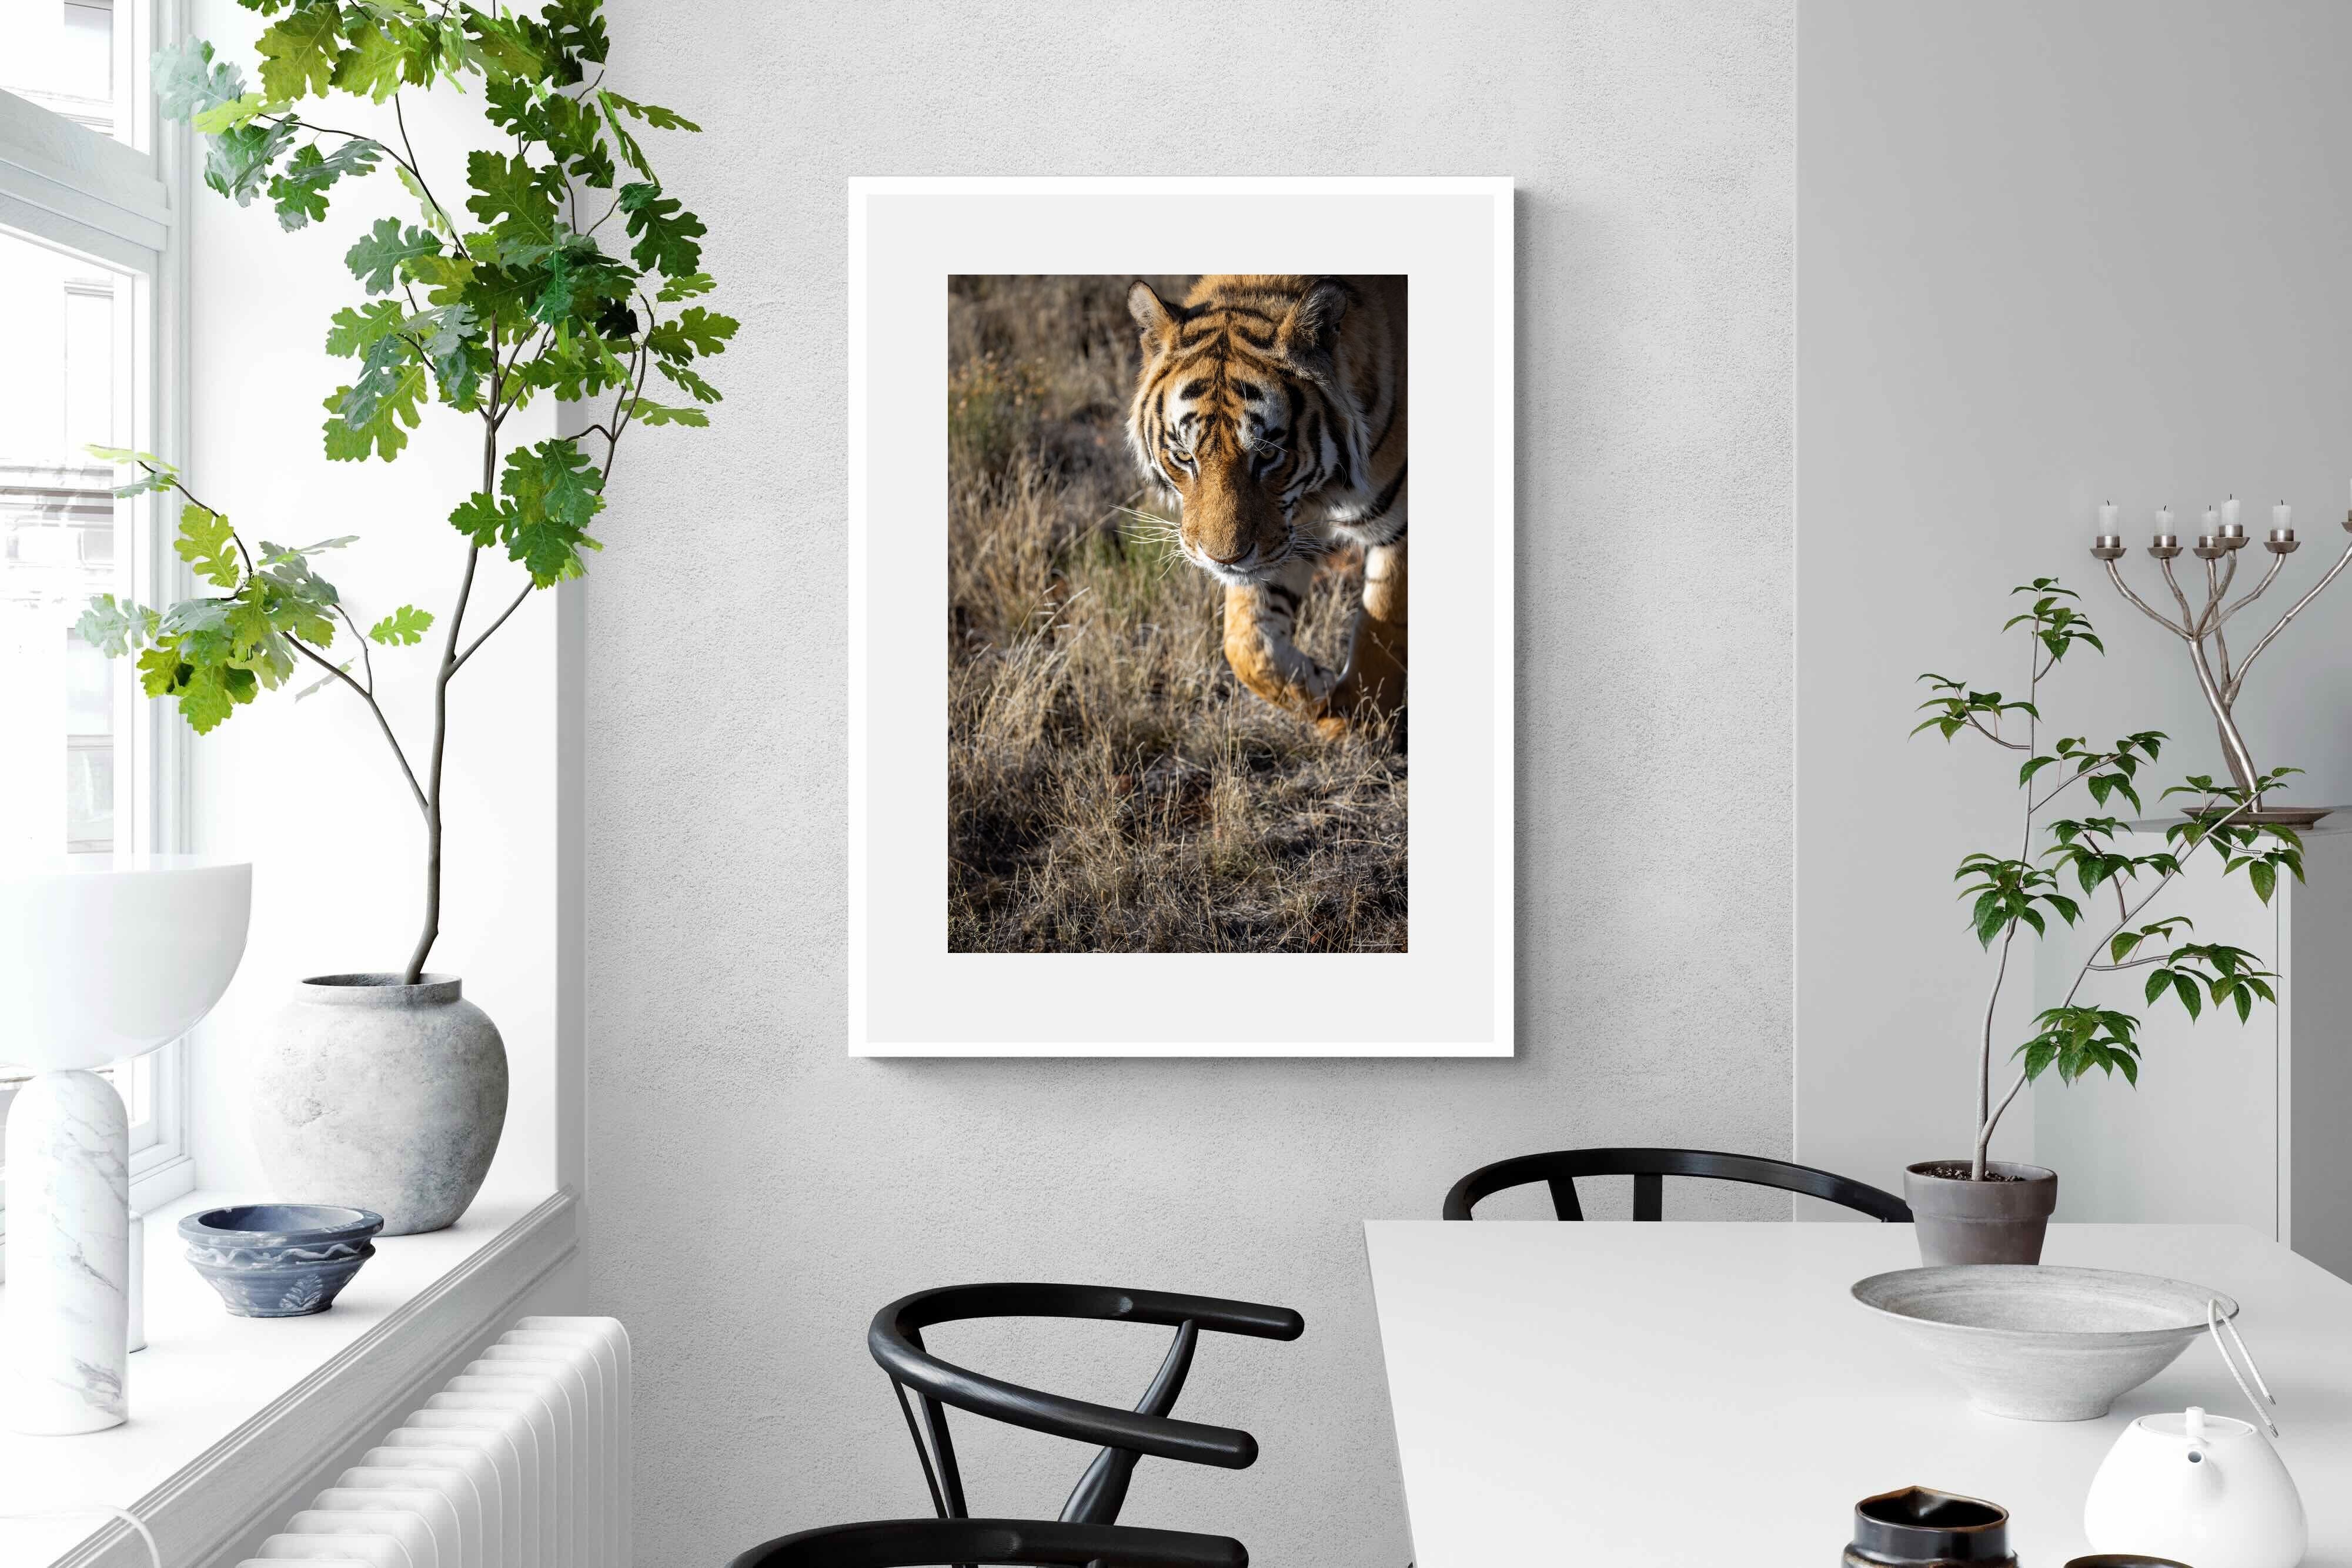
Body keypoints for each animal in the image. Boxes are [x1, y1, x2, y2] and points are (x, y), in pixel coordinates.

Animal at [1125, 274, 1406, 738]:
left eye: (1269, 453)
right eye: (1184, 456)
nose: (1222, 559)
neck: (1319, 494)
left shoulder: (1398, 528)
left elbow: (1380, 628)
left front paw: (1361, 722)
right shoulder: (1283, 539)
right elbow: (1246, 644)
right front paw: (1319, 689)